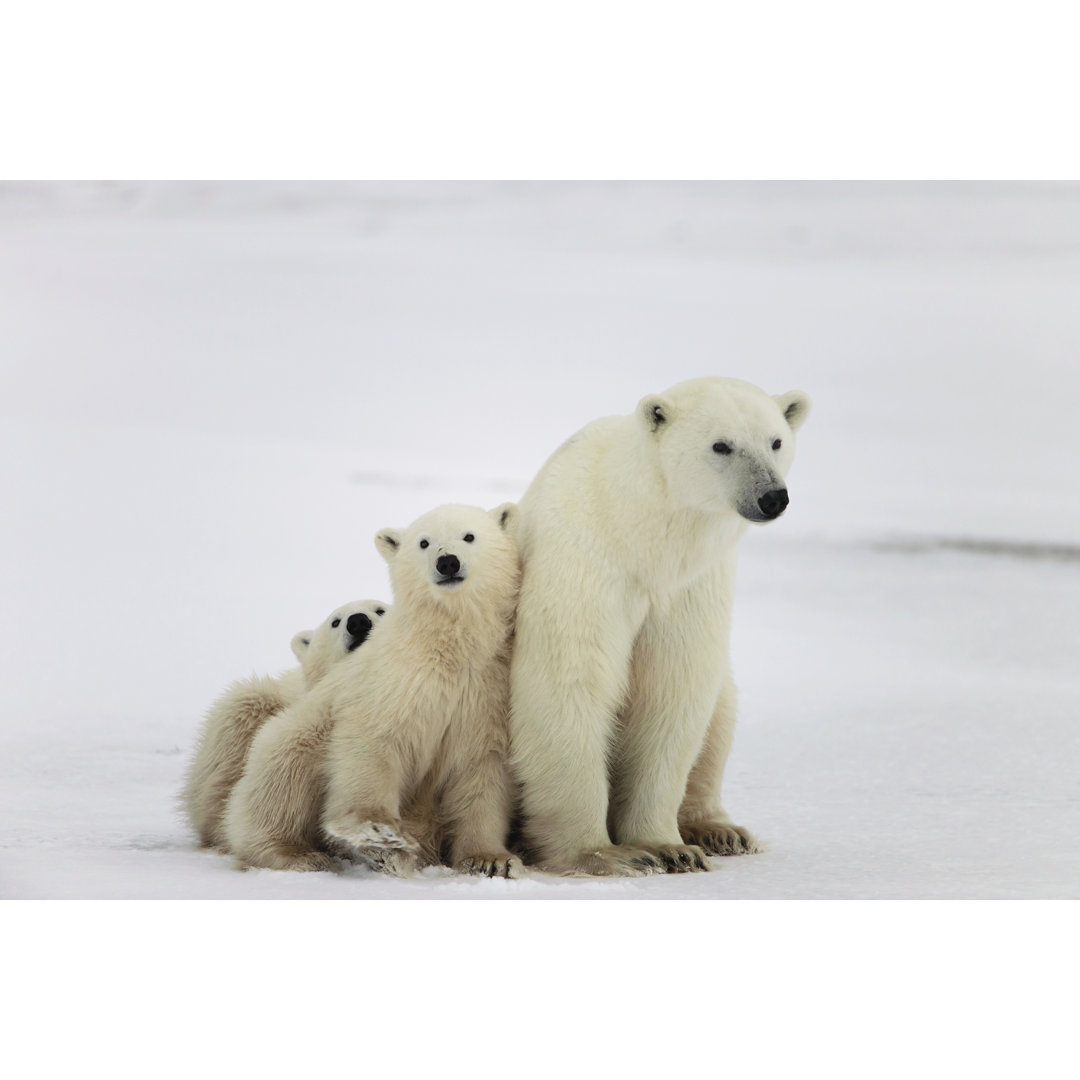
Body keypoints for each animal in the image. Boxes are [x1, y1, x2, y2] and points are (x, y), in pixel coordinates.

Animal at [224, 505, 522, 876]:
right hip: (295, 735)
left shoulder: (485, 692)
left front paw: (491, 860)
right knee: (283, 778)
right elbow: (372, 741)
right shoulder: (391, 680)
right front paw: (379, 838)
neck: (448, 648)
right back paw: (297, 854)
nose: (448, 562)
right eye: (424, 542)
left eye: (469, 536)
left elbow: (482, 771)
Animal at [507, 380, 812, 876]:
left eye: (776, 441)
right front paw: (605, 853)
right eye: (721, 445)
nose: (772, 497)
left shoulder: (689, 586)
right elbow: (570, 682)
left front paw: (669, 847)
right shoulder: (585, 563)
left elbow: (672, 691)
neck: (641, 534)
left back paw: (720, 830)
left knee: (720, 714)